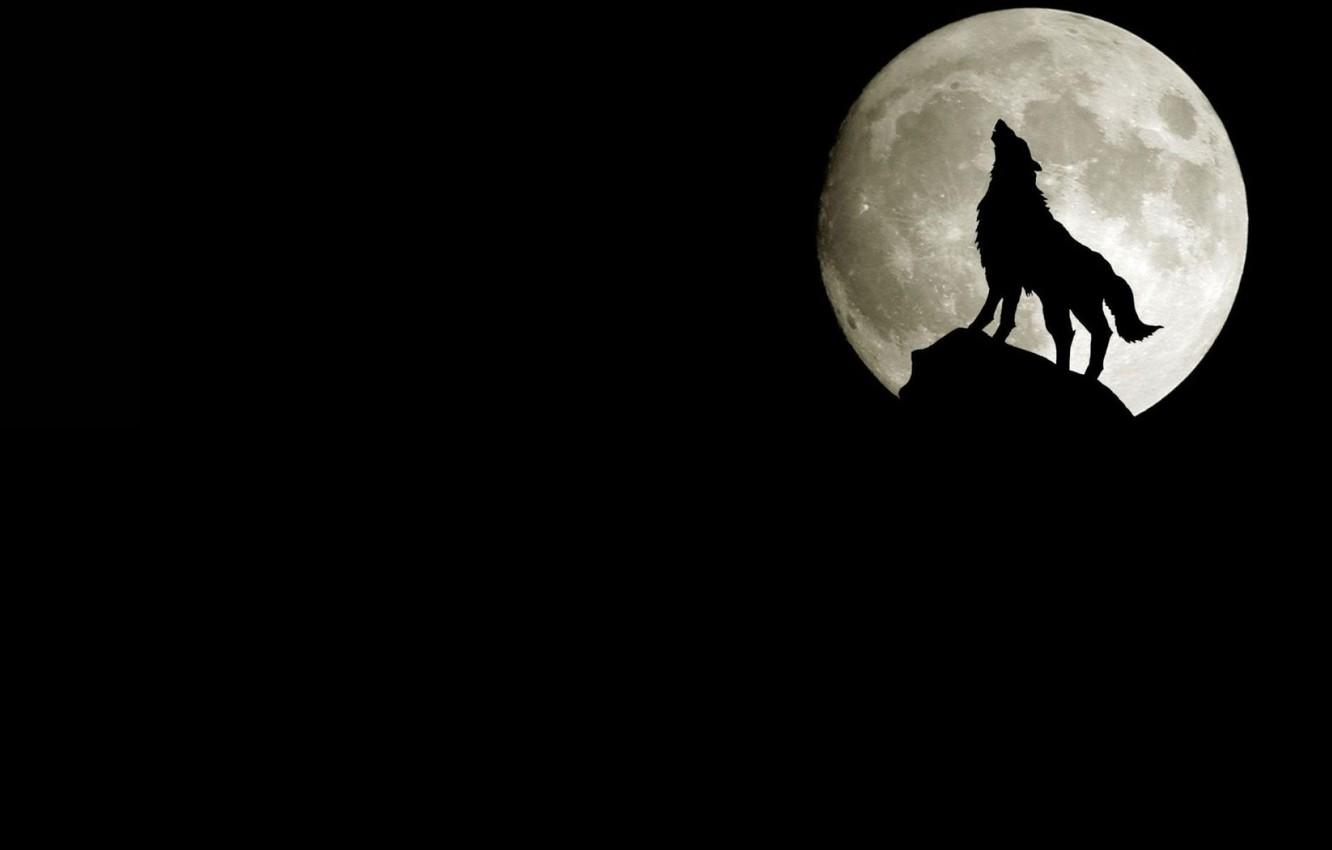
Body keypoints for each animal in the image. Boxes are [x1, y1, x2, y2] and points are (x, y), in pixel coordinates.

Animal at [970, 119, 1161, 380]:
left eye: (1018, 140)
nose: (1001, 122)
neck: (1014, 195)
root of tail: (1110, 271)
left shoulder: (1006, 274)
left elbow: (997, 313)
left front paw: (978, 333)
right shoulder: (1003, 275)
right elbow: (999, 313)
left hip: (1077, 304)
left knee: (1098, 332)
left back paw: (1086, 375)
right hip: (1058, 304)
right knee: (1067, 333)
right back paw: (1069, 370)